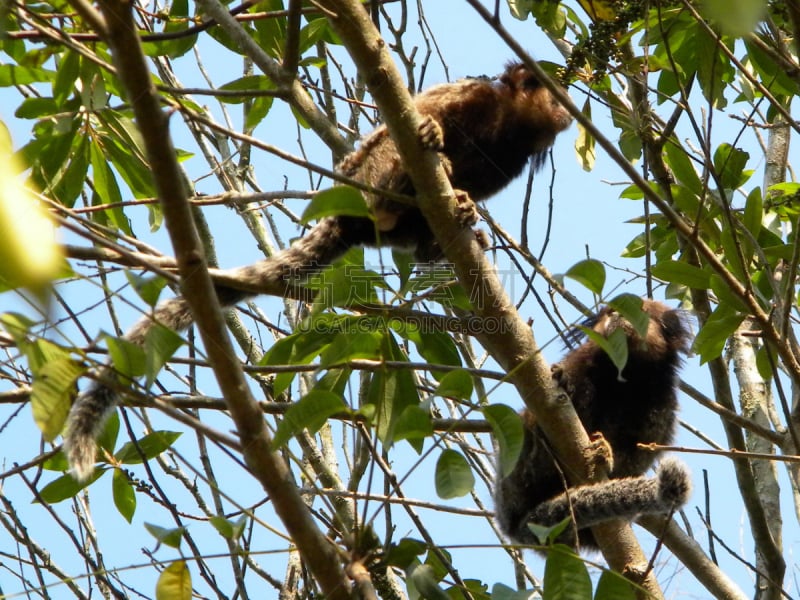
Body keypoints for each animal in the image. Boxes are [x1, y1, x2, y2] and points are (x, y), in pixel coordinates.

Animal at [62, 62, 576, 482]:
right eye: (554, 95)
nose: (568, 111)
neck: (509, 128)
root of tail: (348, 219)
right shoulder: (472, 95)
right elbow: (416, 109)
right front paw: (429, 130)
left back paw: (442, 231)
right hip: (365, 177)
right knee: (381, 150)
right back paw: (404, 184)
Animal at [490, 300, 692, 552]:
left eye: (639, 309)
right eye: (610, 311)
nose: (617, 314)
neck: (627, 374)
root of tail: (512, 524)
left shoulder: (664, 402)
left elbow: (640, 451)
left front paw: (606, 454)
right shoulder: (580, 363)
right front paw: (563, 381)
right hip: (512, 482)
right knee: (528, 424)